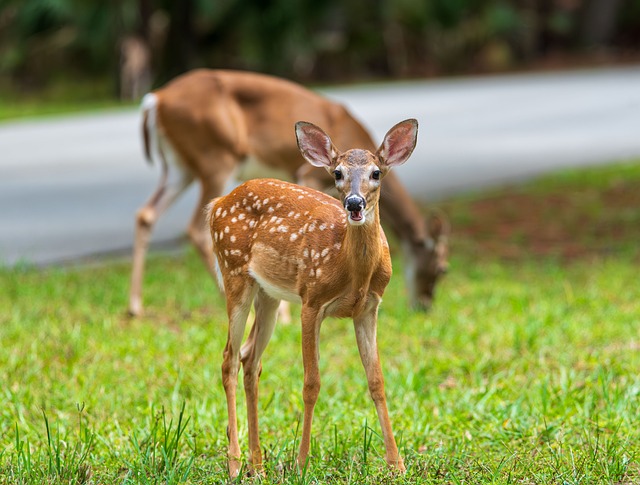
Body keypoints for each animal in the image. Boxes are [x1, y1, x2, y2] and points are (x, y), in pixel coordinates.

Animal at [129, 69, 449, 318]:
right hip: (217, 156)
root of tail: (155, 99)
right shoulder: (307, 173)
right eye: (442, 268)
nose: (424, 306)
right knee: (194, 227)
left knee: (147, 213)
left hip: (179, 165)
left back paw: (135, 307)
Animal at [208, 118, 418, 477]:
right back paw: (235, 463)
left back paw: (257, 463)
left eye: (376, 172)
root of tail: (217, 203)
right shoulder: (311, 299)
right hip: (234, 273)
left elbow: (377, 381)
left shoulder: (369, 308)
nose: (354, 203)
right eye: (337, 173)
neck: (351, 270)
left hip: (269, 294)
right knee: (228, 359)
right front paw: (302, 462)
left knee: (250, 359)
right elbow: (311, 383)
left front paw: (397, 464)